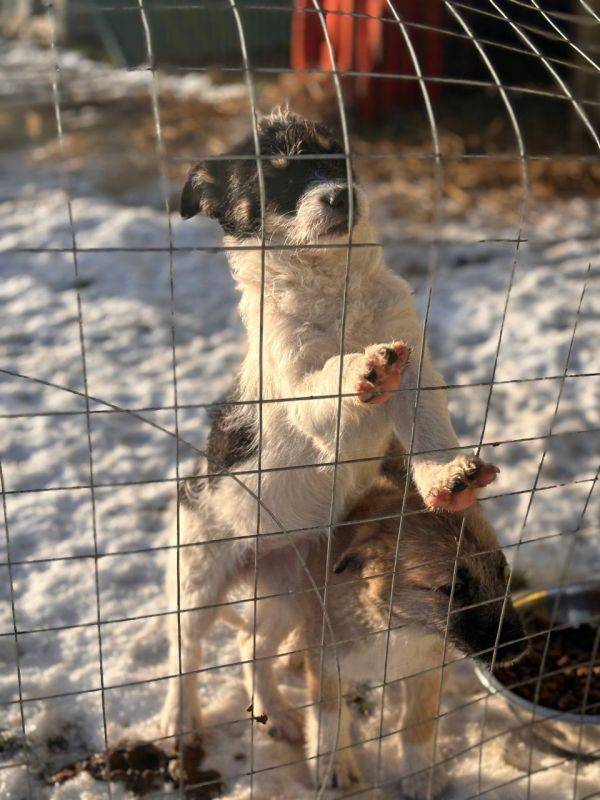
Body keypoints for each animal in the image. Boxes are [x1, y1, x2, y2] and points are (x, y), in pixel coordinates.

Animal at [161, 111, 502, 752]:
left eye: (338, 161)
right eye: (273, 180)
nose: (341, 195)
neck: (335, 290)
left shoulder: (417, 371)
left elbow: (428, 430)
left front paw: (448, 480)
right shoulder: (303, 392)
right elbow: (329, 381)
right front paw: (362, 367)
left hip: (282, 595)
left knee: (252, 648)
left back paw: (279, 714)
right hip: (196, 582)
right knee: (186, 653)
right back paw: (179, 718)